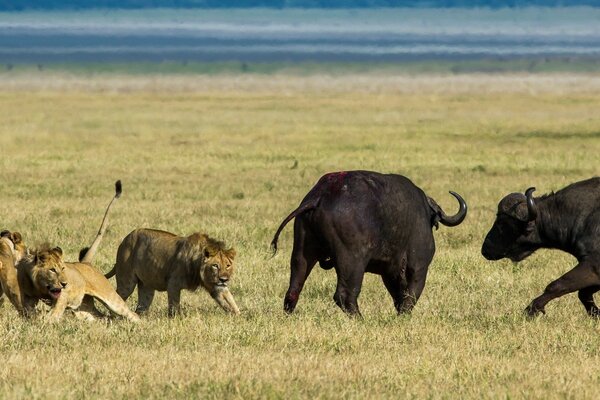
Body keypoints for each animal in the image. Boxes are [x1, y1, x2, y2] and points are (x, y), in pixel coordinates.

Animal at [105, 230, 239, 318]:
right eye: (215, 265)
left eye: (228, 265)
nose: (224, 279)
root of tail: (125, 240)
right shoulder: (173, 284)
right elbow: (174, 305)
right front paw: (177, 320)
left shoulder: (216, 286)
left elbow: (230, 301)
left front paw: (238, 316)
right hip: (126, 282)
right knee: (117, 296)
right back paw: (114, 317)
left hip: (147, 286)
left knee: (142, 305)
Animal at [272, 170, 468, 318]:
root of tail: (320, 196)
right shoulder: (419, 266)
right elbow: (411, 294)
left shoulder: (390, 271)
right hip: (352, 262)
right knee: (345, 295)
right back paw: (360, 319)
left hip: (302, 251)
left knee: (293, 289)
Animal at [480, 178, 600, 318]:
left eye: (502, 223)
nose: (486, 249)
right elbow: (583, 293)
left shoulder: (593, 267)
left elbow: (557, 285)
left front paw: (531, 309)